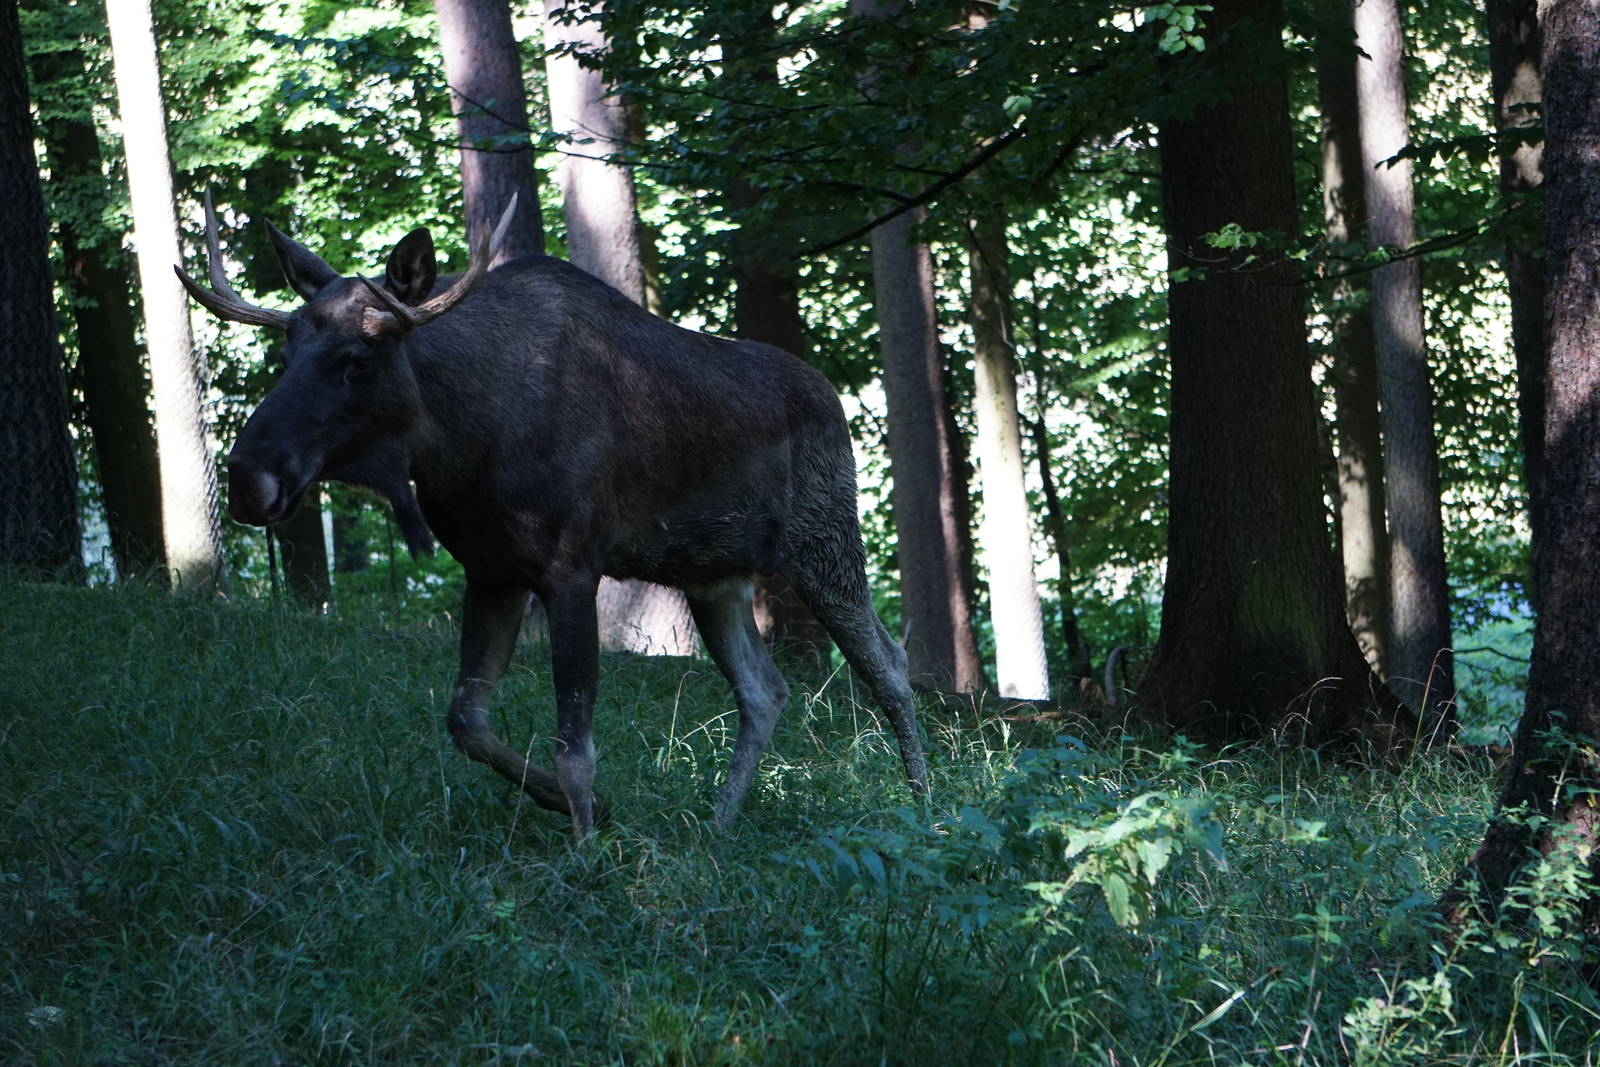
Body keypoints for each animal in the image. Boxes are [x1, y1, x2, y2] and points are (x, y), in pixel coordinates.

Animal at [176, 194, 930, 839]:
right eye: (286, 350)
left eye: (357, 357)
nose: (248, 477)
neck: (460, 442)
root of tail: (836, 400)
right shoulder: (492, 571)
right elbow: (467, 720)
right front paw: (590, 809)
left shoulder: (571, 568)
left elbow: (576, 748)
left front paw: (588, 851)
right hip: (713, 574)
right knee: (765, 689)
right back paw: (717, 827)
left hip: (824, 541)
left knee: (890, 664)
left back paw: (925, 808)